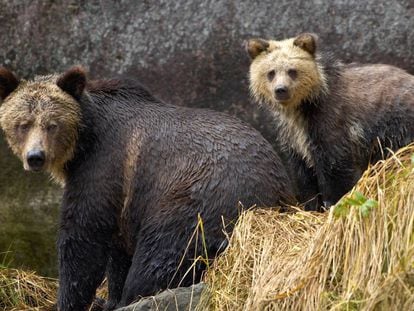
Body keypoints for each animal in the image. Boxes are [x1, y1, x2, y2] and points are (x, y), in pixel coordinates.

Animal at [0, 67, 296, 310]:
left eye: (52, 124)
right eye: (23, 123)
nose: (35, 157)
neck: (83, 142)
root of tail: (275, 198)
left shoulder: (103, 166)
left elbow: (83, 238)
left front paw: (72, 300)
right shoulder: (123, 198)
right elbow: (116, 250)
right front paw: (109, 298)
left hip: (199, 200)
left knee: (160, 256)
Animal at [247, 33, 414, 210]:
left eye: (292, 71)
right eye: (271, 72)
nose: (281, 90)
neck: (302, 108)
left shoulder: (331, 123)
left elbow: (335, 167)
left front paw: (333, 202)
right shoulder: (293, 137)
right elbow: (303, 174)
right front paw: (311, 205)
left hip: (396, 125)